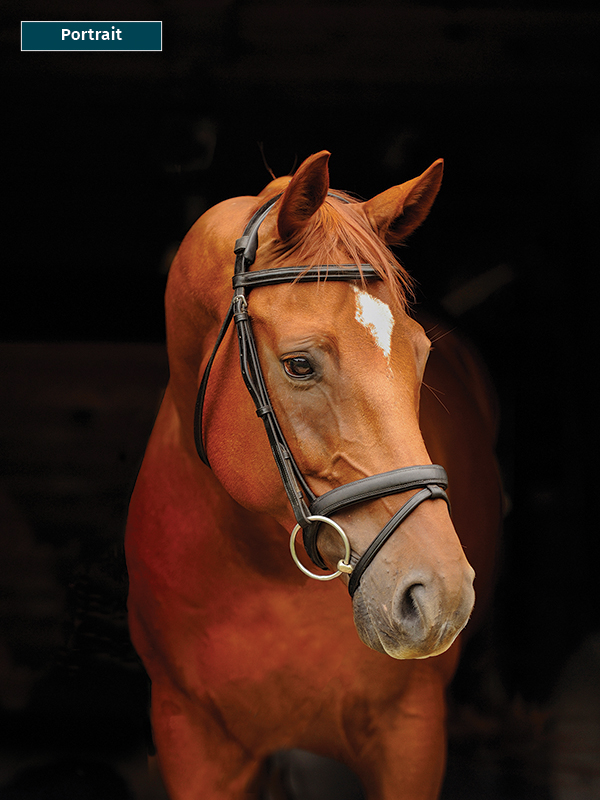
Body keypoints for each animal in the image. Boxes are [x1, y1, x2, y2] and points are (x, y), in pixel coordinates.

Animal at [125, 151, 502, 799]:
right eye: (299, 364)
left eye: (421, 354)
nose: (441, 596)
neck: (258, 572)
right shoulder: (190, 740)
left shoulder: (410, 737)